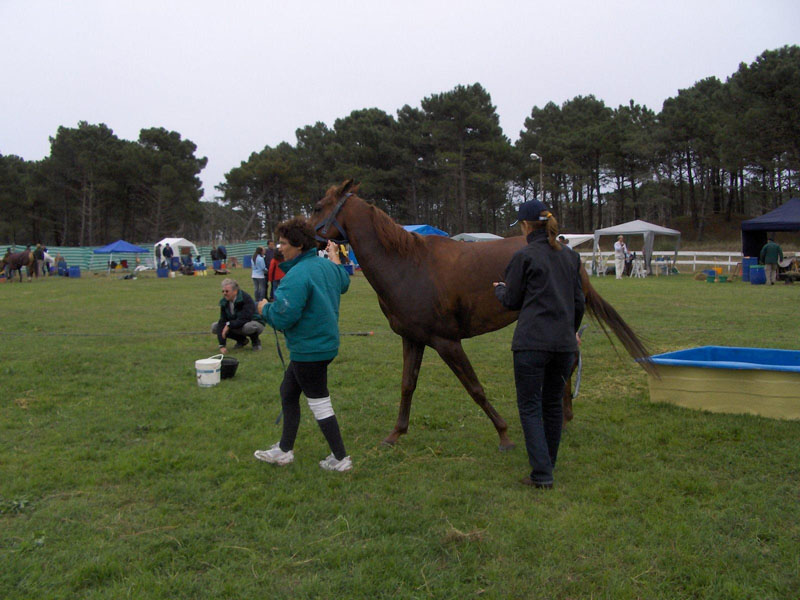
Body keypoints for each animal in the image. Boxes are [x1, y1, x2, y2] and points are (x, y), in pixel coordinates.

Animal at [310, 179, 652, 450]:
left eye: (316, 206)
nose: (298, 236)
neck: (407, 265)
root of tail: (567, 251)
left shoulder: (447, 342)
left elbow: (474, 387)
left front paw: (504, 435)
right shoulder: (413, 339)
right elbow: (408, 385)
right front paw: (396, 434)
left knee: (568, 366)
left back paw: (565, 418)